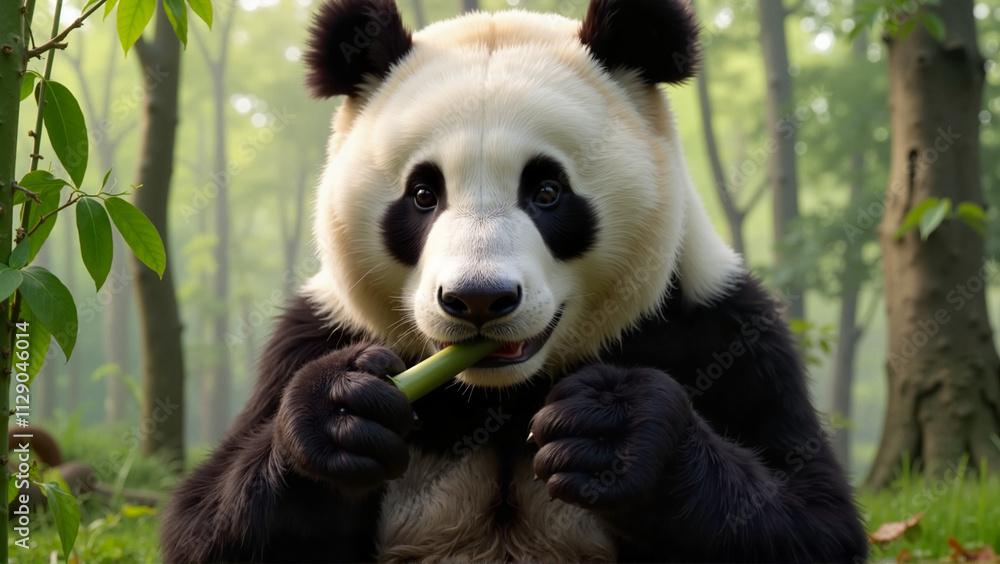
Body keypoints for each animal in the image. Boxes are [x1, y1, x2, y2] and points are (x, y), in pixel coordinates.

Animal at [160, 0, 868, 561]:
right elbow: (207, 524)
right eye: (423, 194)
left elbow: (809, 517)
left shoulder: (719, 331)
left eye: (547, 191)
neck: (500, 394)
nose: (478, 298)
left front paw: (611, 429)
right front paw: (342, 410)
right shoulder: (314, 335)